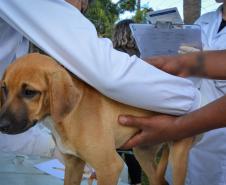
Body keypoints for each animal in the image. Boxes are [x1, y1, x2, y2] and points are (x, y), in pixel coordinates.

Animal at [0, 53, 193, 185]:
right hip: (143, 152)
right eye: (4, 89)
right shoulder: (73, 164)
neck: (69, 117)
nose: (1, 125)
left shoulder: (110, 167)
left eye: (29, 92)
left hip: (178, 159)